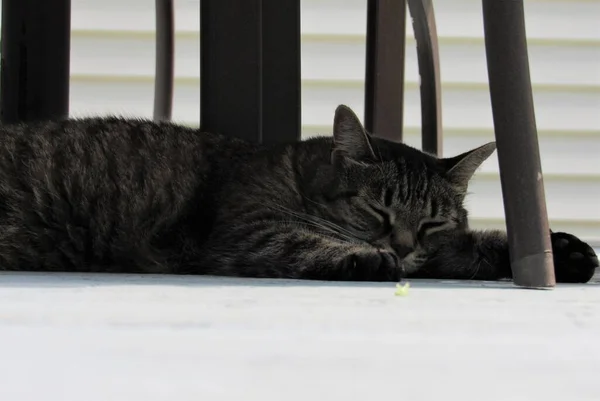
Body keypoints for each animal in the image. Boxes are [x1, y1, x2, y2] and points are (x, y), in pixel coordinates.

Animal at [0, 105, 596, 282]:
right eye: (375, 209)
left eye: (431, 222)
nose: (402, 247)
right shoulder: (250, 230)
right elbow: (306, 242)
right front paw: (368, 258)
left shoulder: (440, 249)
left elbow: (473, 246)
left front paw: (565, 250)